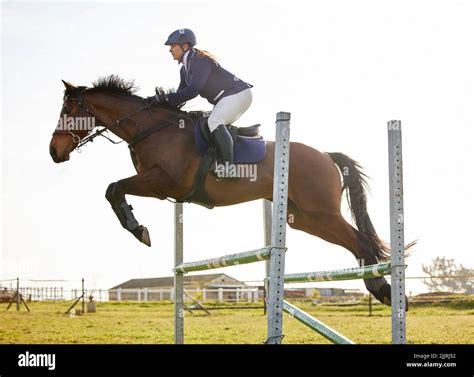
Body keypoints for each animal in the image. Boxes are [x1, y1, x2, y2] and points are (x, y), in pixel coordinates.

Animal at [49, 74, 412, 308]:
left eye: (68, 111)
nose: (54, 151)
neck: (151, 129)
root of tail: (325, 155)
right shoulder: (161, 186)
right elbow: (113, 189)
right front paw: (138, 227)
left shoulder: (164, 182)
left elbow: (114, 188)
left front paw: (139, 230)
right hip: (303, 218)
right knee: (356, 242)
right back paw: (383, 290)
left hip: (321, 212)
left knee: (361, 241)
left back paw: (384, 290)